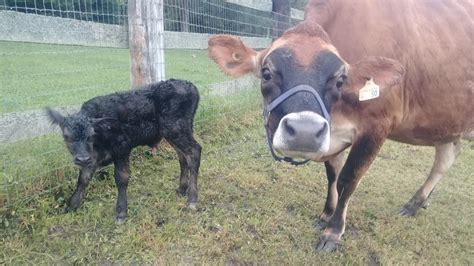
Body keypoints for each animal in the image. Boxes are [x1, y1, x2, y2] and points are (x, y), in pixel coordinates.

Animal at [44, 79, 200, 222]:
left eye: (91, 136)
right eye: (67, 137)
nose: (82, 159)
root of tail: (188, 84)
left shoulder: (122, 147)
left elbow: (121, 177)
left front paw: (121, 212)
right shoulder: (92, 156)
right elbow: (83, 179)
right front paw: (72, 206)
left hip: (176, 129)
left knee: (194, 152)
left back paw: (192, 198)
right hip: (173, 132)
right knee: (182, 156)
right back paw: (182, 189)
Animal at [209, 0, 472, 251]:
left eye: (340, 80)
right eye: (266, 73)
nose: (304, 132)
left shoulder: (377, 126)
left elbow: (348, 178)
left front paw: (333, 232)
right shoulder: (331, 132)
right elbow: (332, 175)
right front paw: (325, 215)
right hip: (445, 126)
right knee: (444, 160)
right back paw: (415, 204)